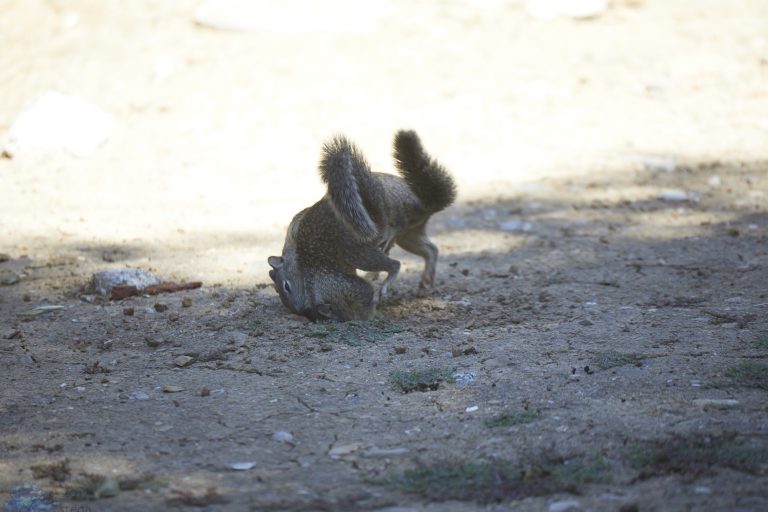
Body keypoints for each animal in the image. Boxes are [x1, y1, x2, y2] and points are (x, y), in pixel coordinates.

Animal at [268, 130, 456, 321]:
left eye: (286, 286)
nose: (300, 309)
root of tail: (422, 203)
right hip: (409, 236)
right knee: (430, 250)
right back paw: (425, 281)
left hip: (361, 253)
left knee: (395, 262)